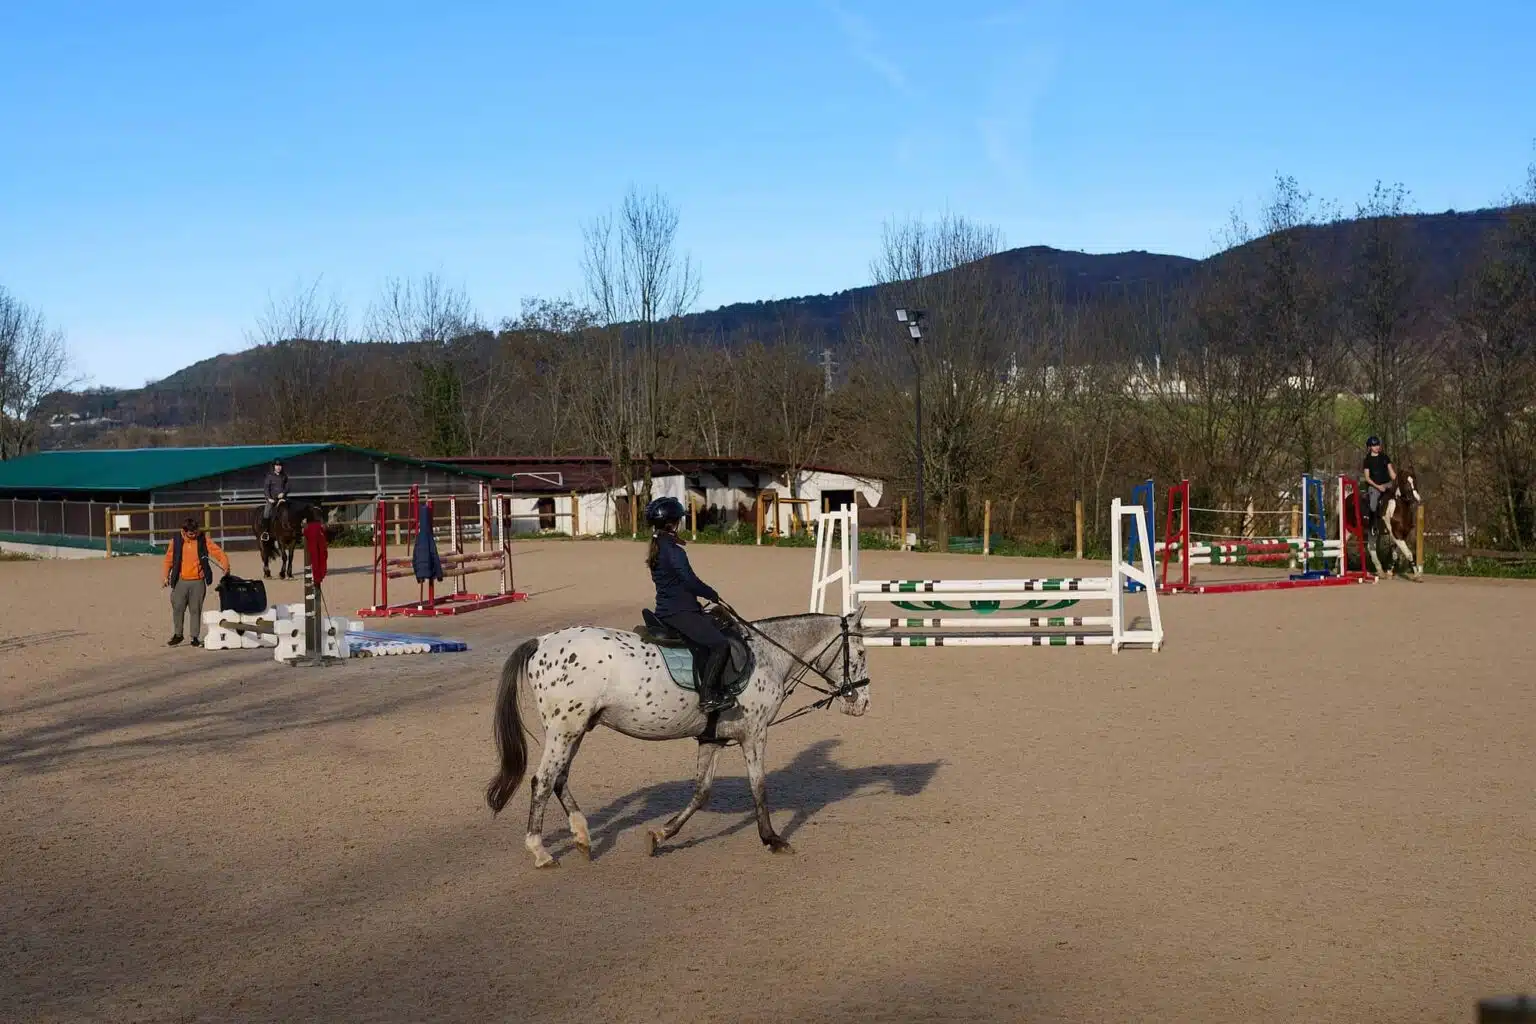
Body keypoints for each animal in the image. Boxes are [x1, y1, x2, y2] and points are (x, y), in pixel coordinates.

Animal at [485, 611, 870, 868]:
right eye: (862, 653)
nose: (863, 702)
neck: (768, 656)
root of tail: (541, 642)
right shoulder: (755, 733)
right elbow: (759, 787)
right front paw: (772, 839)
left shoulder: (713, 739)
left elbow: (701, 792)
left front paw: (660, 836)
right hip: (565, 729)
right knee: (543, 780)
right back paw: (541, 851)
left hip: (576, 728)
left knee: (560, 778)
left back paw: (581, 836)